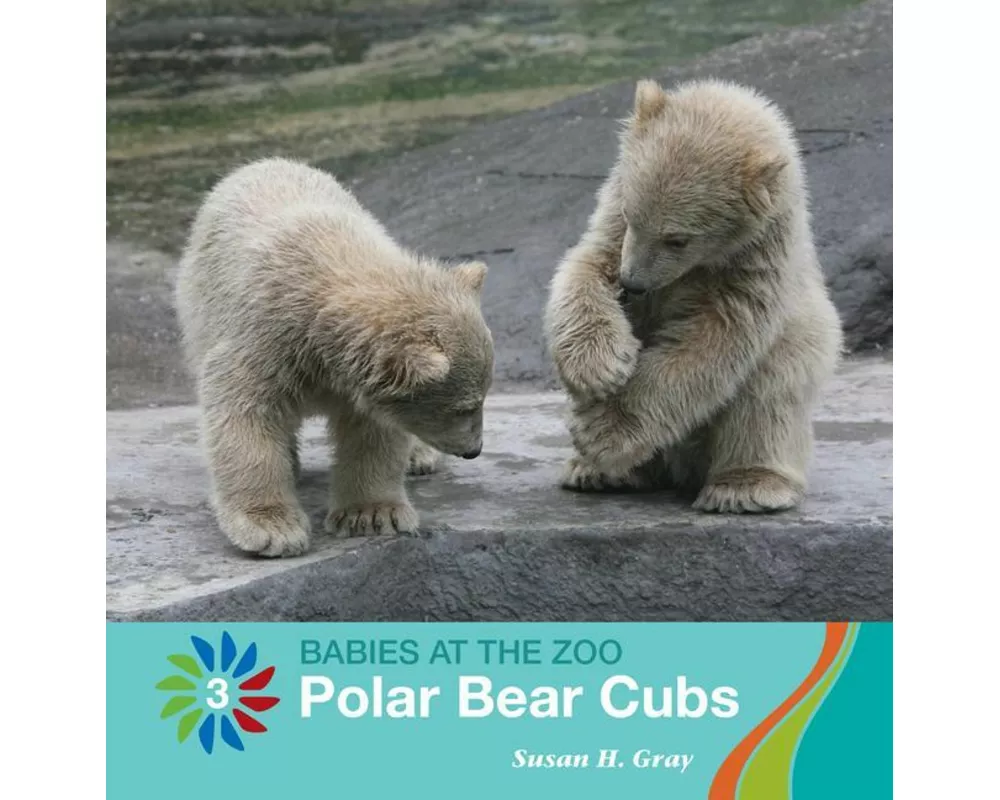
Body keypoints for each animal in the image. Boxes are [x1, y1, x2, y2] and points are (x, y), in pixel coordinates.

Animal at [175, 158, 493, 556]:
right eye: (464, 407)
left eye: (482, 398)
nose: (474, 450)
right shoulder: (265, 339)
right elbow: (245, 413)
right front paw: (272, 528)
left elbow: (373, 431)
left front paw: (373, 514)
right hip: (197, 308)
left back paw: (418, 457)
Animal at [544, 79, 842, 513]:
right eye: (632, 214)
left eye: (678, 239)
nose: (632, 283)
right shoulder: (614, 228)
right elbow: (586, 267)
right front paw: (600, 367)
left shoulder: (754, 264)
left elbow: (712, 340)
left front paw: (601, 429)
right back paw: (597, 473)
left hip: (801, 340)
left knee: (769, 391)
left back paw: (744, 486)